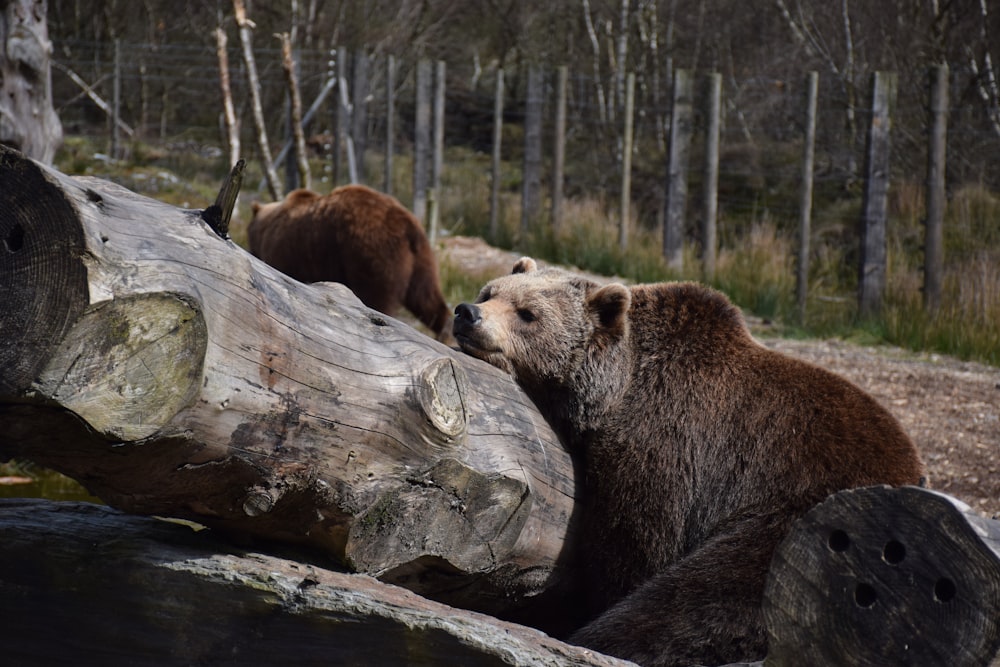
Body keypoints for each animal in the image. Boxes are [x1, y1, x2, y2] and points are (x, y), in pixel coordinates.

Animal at [246, 185, 454, 342]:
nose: (250, 249)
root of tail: (408, 225)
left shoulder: (287, 252)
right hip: (421, 260)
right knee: (426, 298)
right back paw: (446, 335)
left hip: (370, 253)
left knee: (377, 300)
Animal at [452, 258, 920, 667]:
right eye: (490, 292)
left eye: (528, 314)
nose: (467, 313)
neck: (618, 390)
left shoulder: (668, 440)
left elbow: (638, 543)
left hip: (802, 536)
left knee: (695, 603)